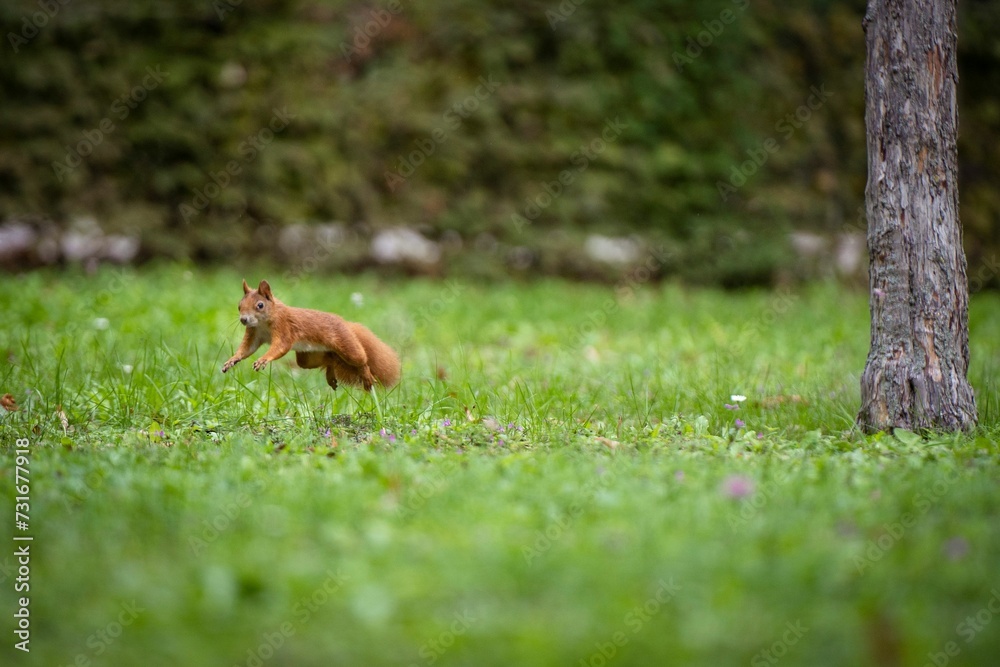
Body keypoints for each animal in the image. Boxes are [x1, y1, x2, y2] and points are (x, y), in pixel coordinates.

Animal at [221, 279, 400, 391]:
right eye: (239, 306)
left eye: (260, 305)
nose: (244, 319)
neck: (264, 323)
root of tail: (347, 324)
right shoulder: (254, 333)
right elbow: (247, 349)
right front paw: (232, 360)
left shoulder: (284, 328)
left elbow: (280, 347)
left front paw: (263, 359)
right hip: (307, 358)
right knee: (329, 360)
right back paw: (330, 375)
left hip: (347, 345)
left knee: (361, 360)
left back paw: (367, 376)